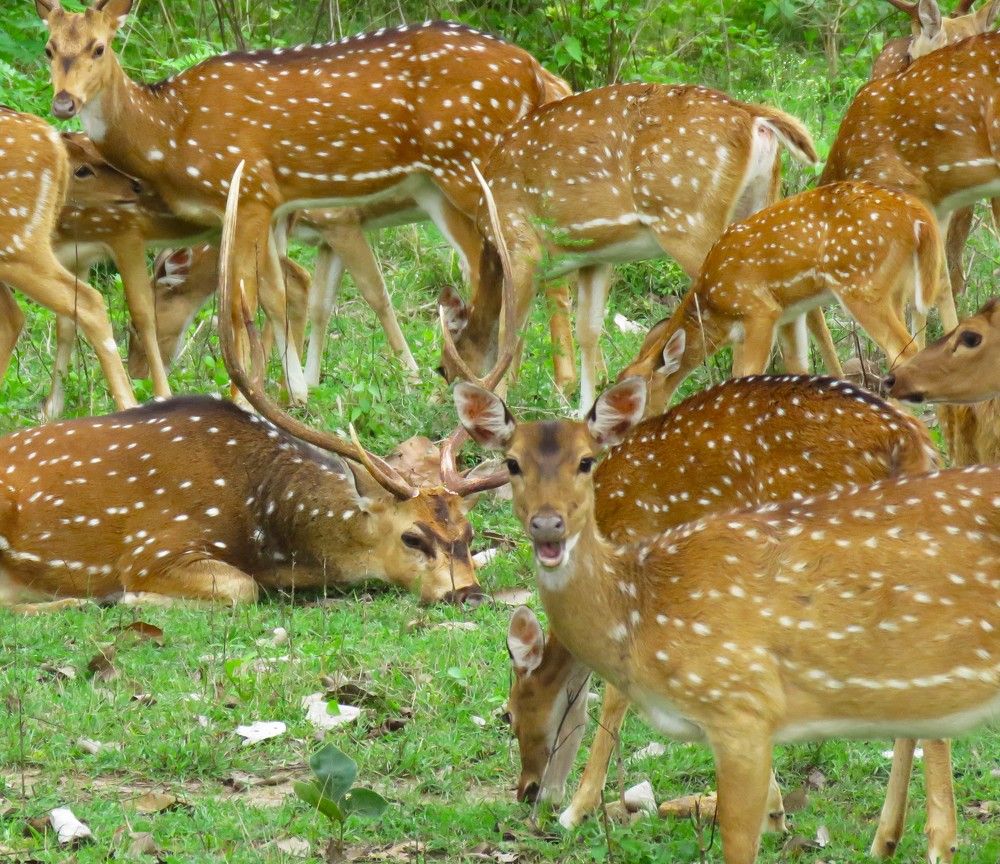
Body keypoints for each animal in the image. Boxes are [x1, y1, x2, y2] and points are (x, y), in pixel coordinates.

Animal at [35, 0, 572, 405]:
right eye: (50, 48)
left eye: (100, 46)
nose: (63, 102)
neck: (169, 134)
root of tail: (535, 73)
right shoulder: (272, 208)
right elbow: (280, 296)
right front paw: (296, 392)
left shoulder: (249, 191)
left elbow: (241, 307)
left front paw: (249, 396)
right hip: (444, 184)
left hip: (469, 164)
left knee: (513, 260)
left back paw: (502, 383)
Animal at [436, 81, 830, 411]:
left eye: (447, 360)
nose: (442, 378)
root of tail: (754, 117)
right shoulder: (595, 257)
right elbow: (588, 331)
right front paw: (583, 411)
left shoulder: (519, 244)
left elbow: (509, 331)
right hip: (761, 202)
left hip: (687, 219)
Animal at [454, 372, 1000, 864]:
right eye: (512, 463)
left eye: (513, 712)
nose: (527, 790)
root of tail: (912, 438)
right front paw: (777, 812)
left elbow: (614, 697)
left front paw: (578, 810)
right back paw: (886, 838)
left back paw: (936, 842)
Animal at [614, 181, 957, 418]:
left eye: (634, 399)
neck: (714, 308)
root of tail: (918, 216)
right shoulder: (789, 315)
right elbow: (798, 368)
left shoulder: (758, 309)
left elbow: (745, 374)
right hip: (896, 287)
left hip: (861, 283)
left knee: (903, 349)